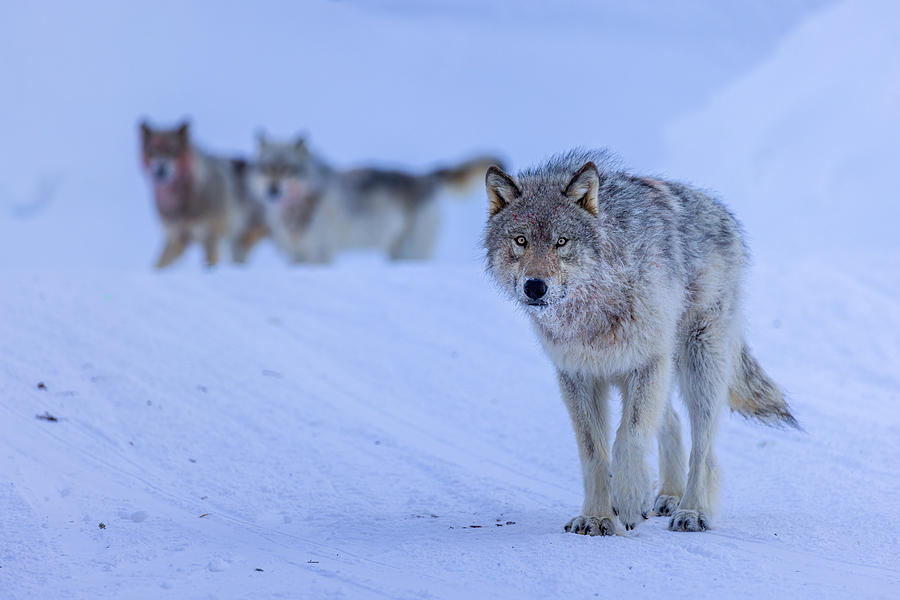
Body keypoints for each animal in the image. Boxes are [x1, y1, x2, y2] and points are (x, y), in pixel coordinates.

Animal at [139, 122, 268, 268]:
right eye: (152, 151)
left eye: (173, 151)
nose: (161, 169)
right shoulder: (176, 238)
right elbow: (158, 266)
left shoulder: (210, 238)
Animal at [253, 135, 502, 264]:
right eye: (267, 168)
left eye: (287, 169)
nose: (273, 190)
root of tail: (426, 177)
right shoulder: (295, 256)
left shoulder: (321, 254)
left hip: (410, 253)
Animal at [482, 150, 800, 536]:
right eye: (520, 241)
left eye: (562, 242)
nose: (535, 287)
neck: (592, 312)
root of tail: (722, 212)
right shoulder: (577, 375)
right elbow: (594, 452)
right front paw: (597, 517)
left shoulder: (646, 362)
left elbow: (628, 437)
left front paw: (631, 499)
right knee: (673, 422)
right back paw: (668, 495)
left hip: (698, 364)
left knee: (704, 449)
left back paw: (691, 510)